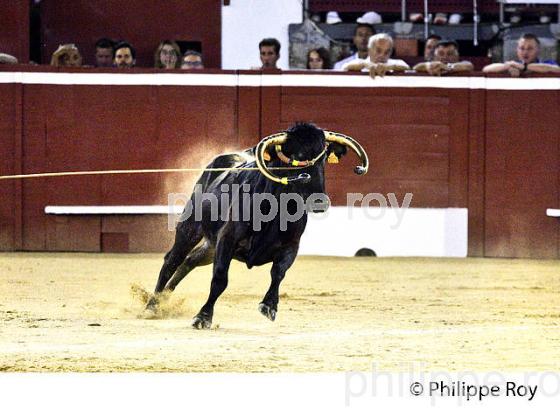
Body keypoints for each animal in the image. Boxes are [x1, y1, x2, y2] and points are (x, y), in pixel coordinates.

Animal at [147, 122, 370, 330]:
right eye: (297, 156)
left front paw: (269, 306)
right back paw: (152, 305)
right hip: (190, 228)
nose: (319, 202)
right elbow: (220, 278)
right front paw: (203, 317)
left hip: (210, 246)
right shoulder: (227, 239)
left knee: (190, 261)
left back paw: (164, 300)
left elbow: (278, 273)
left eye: (323, 159)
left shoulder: (291, 246)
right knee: (172, 260)